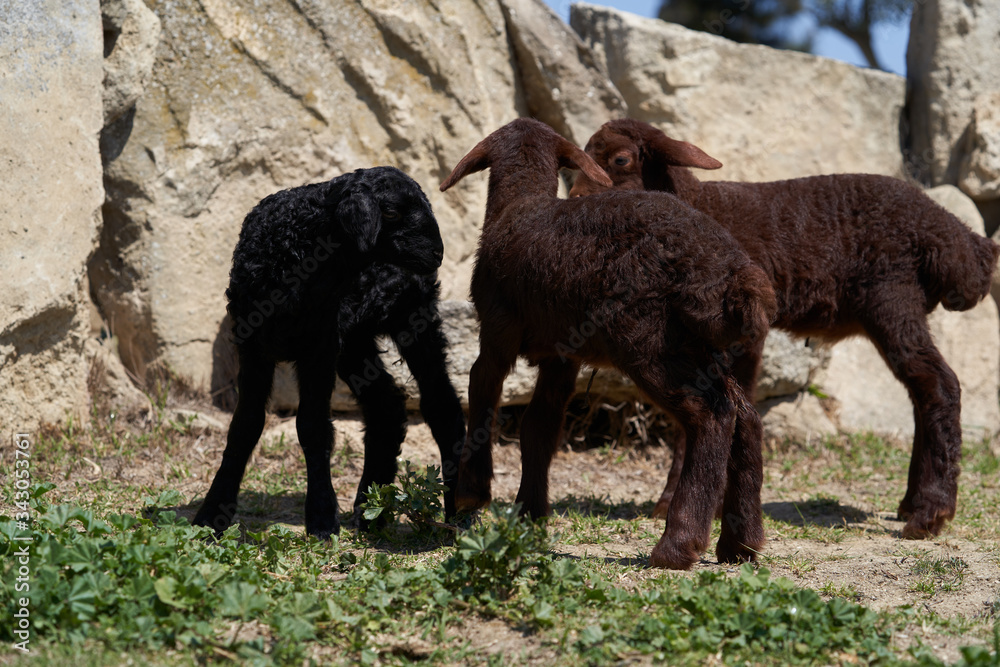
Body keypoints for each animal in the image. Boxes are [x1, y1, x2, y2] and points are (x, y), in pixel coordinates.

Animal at [195, 167, 468, 536]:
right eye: (391, 212)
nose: (437, 254)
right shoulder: (252, 344)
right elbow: (245, 425)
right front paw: (213, 515)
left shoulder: (319, 346)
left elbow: (313, 426)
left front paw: (322, 518)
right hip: (354, 339)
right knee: (386, 406)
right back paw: (370, 511)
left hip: (412, 315)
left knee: (442, 405)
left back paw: (460, 516)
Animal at [442, 118, 776, 568]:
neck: (519, 204)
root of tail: (733, 275)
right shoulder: (561, 356)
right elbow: (538, 428)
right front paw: (530, 516)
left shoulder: (496, 333)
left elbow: (482, 397)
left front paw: (470, 494)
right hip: (697, 344)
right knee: (745, 415)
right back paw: (741, 542)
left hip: (649, 342)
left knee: (711, 415)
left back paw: (678, 544)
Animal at [572, 117, 1000, 540]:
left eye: (621, 159)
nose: (578, 203)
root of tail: (955, 239)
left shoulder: (741, 329)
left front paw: (690, 502)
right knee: (921, 391)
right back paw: (911, 502)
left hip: (892, 295)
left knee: (940, 384)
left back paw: (930, 513)